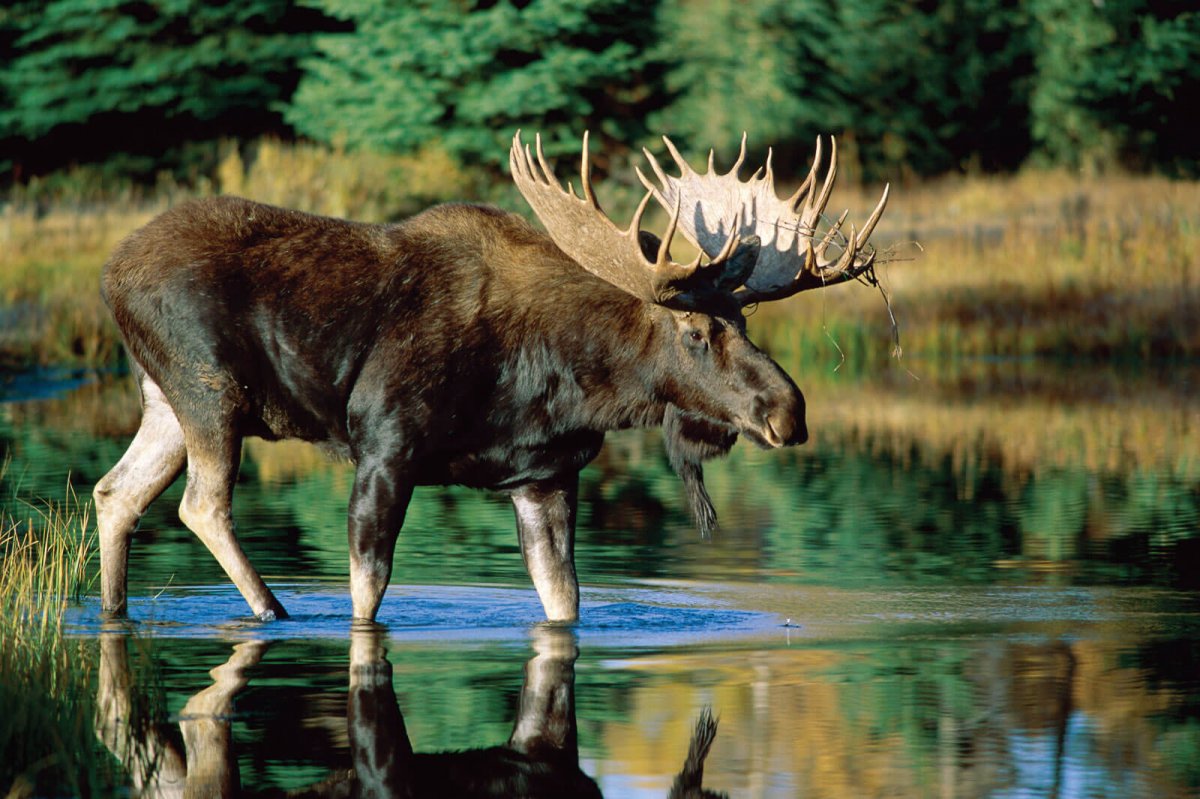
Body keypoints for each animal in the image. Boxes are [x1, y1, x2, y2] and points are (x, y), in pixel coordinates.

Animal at [93, 131, 888, 623]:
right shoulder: (385, 444)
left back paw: (114, 611)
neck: (562, 381)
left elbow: (564, 601)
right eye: (696, 332)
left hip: (165, 398)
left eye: (745, 322)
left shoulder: (544, 474)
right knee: (201, 503)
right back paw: (272, 611)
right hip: (208, 387)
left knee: (115, 491)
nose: (789, 411)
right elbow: (367, 593)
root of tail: (110, 273)